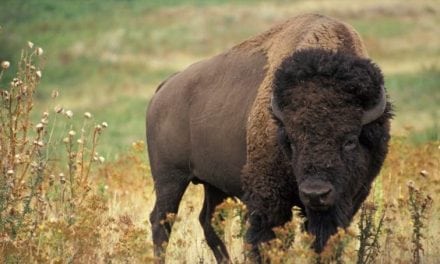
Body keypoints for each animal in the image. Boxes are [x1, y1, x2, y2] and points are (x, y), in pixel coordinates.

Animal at [147, 13, 392, 262]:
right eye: (291, 141)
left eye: (350, 141)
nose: (315, 193)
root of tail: (164, 88)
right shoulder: (269, 199)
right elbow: (265, 240)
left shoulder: (349, 199)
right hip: (170, 178)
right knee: (161, 221)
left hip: (213, 185)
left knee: (209, 222)